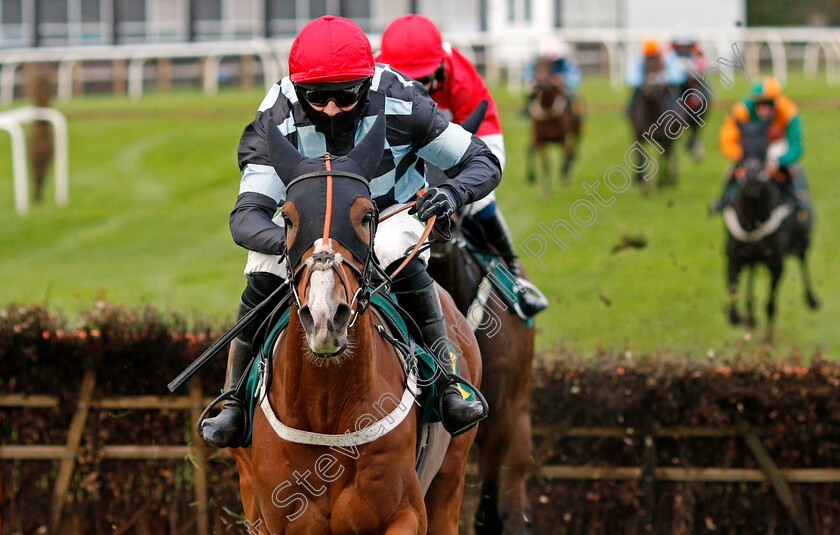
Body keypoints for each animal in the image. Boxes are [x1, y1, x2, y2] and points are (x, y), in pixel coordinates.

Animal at [230, 115, 482, 532]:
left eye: (365, 215)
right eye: (288, 218)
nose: (324, 316)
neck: (326, 408)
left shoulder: (405, 512)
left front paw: (439, 199)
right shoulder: (273, 517)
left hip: (451, 476)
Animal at [724, 120, 816, 340]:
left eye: (765, 144)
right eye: (741, 144)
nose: (751, 178)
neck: (753, 219)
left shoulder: (776, 262)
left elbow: (770, 305)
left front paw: (768, 339)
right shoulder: (734, 257)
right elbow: (733, 313)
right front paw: (747, 319)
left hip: (802, 239)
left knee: (803, 260)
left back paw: (812, 299)